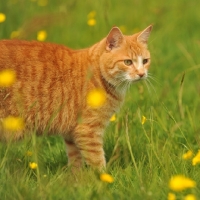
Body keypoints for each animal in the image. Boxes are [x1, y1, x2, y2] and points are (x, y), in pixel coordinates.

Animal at [0, 24, 152, 169]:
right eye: (128, 62)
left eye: (145, 61)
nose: (141, 74)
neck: (97, 74)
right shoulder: (88, 131)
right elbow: (98, 163)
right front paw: (104, 177)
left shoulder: (71, 133)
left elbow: (76, 163)